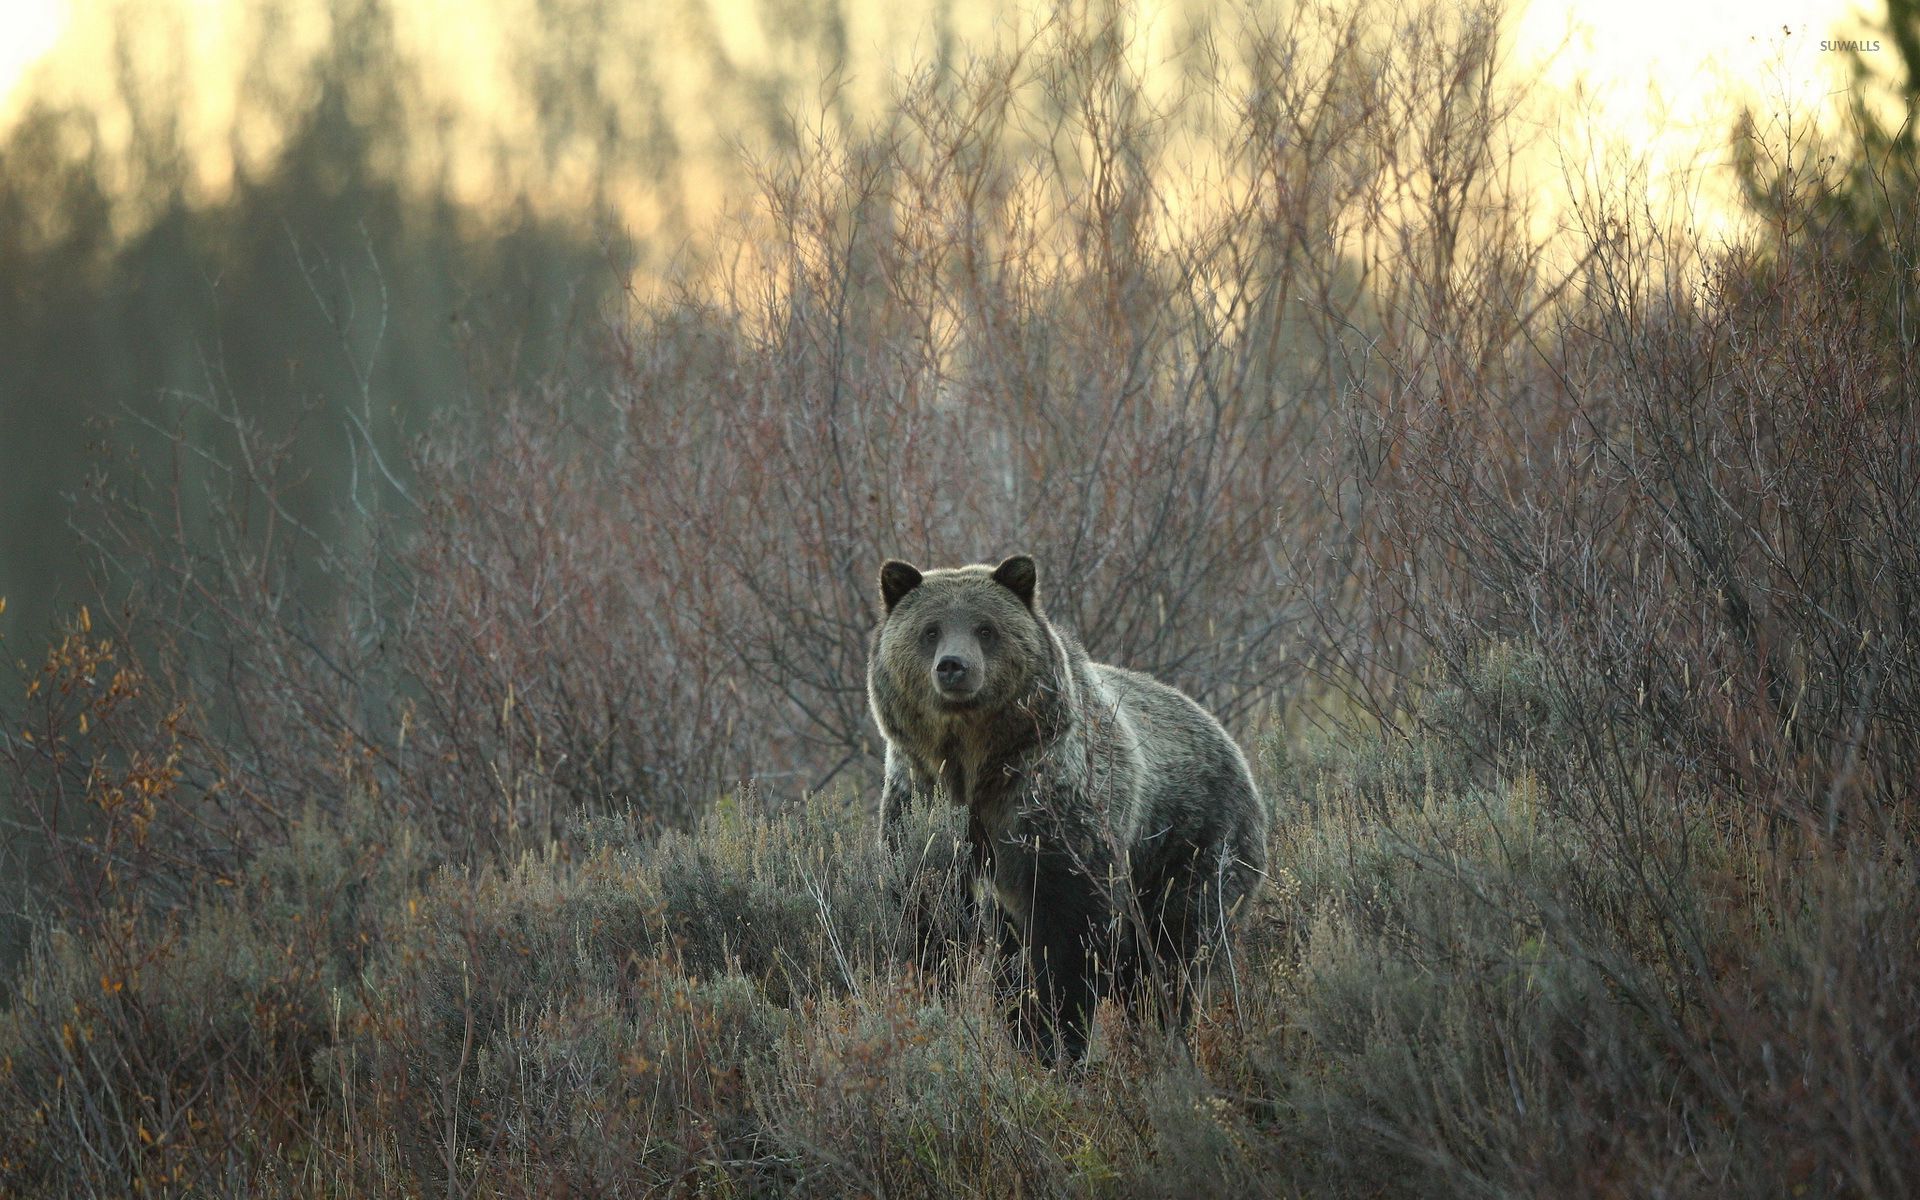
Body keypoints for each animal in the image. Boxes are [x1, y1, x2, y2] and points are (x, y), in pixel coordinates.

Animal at [869, 554, 1269, 1062]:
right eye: (931, 629)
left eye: (985, 628)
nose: (953, 667)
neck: (975, 765)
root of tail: (1230, 743)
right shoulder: (921, 797)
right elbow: (929, 911)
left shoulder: (1050, 800)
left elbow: (1065, 929)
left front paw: (1054, 1036)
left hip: (1193, 841)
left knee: (1175, 948)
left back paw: (1164, 1030)